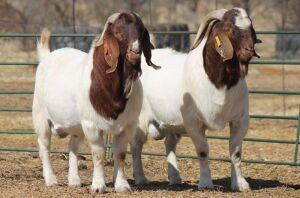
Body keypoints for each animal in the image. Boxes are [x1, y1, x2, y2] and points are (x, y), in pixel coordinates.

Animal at [32, 11, 159, 193]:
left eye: (141, 31)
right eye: (118, 32)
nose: (135, 51)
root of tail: (46, 56)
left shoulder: (127, 125)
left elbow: (120, 154)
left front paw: (121, 185)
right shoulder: (92, 125)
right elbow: (98, 154)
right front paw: (98, 185)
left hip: (76, 125)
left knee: (72, 146)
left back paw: (74, 180)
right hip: (41, 116)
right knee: (44, 146)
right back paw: (51, 179)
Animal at [132, 7, 262, 190]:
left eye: (251, 27)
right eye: (229, 28)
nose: (248, 51)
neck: (219, 83)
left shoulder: (240, 120)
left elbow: (236, 153)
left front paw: (240, 184)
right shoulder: (194, 122)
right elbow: (203, 151)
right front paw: (206, 183)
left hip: (174, 123)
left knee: (169, 144)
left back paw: (175, 178)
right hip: (140, 120)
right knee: (136, 147)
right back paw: (140, 178)